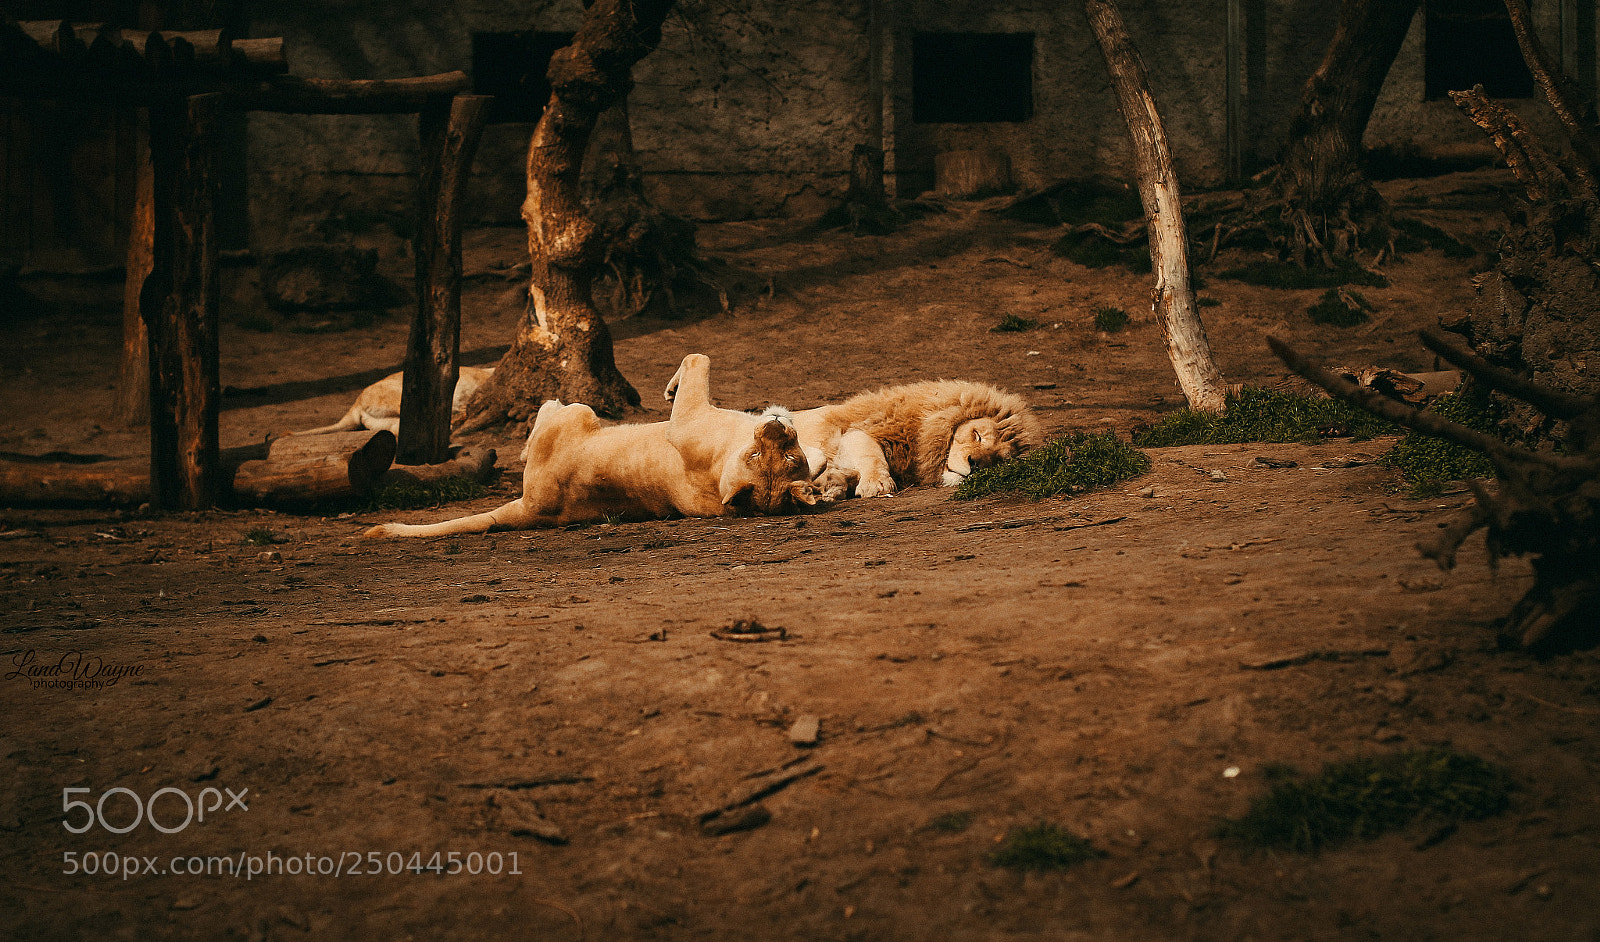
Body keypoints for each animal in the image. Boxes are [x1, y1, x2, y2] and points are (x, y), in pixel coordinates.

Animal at [364, 354, 828, 538]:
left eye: (780, 455)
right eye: (762, 455)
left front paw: (669, 387)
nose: (776, 426)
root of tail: (529, 509)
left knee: (551, 411)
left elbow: (697, 359)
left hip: (580, 413)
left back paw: (535, 429)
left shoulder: (688, 417)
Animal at [791, 380, 1042, 498]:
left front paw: (833, 483)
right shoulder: (851, 431)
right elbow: (871, 451)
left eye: (1000, 460)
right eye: (977, 435)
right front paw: (877, 483)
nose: (975, 464)